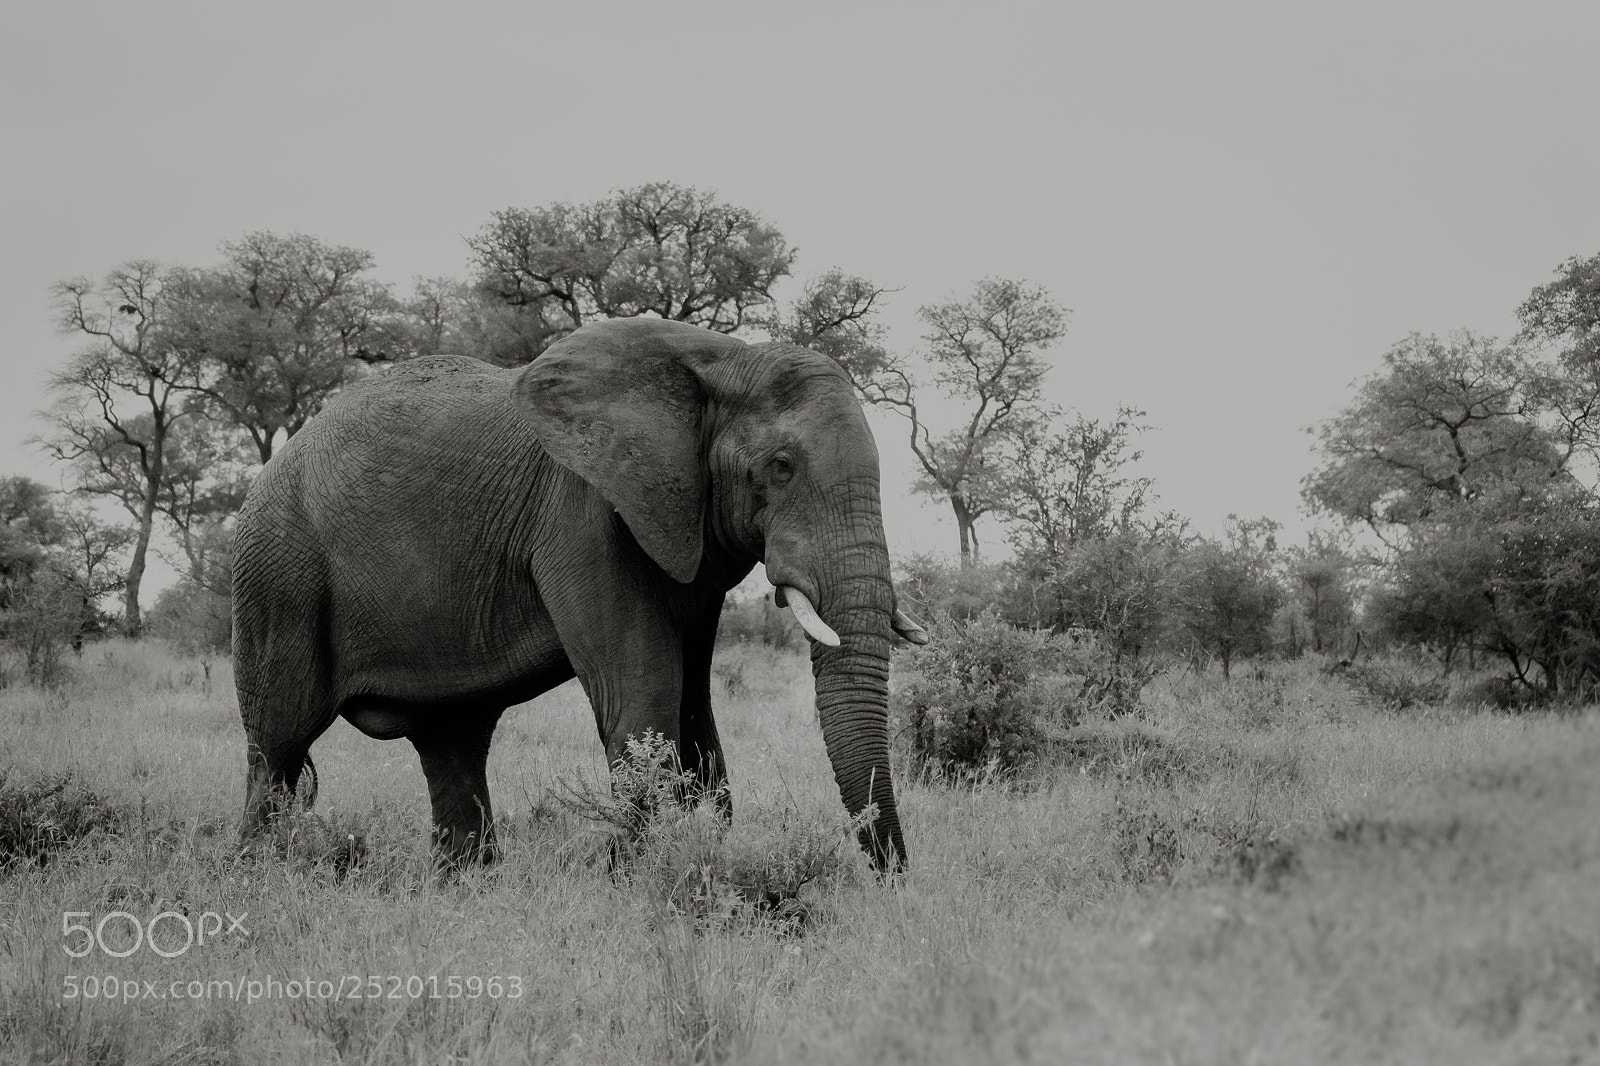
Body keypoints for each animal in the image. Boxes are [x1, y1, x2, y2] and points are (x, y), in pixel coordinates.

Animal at [233, 316, 928, 871]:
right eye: (780, 468)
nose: (892, 880)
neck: (720, 360)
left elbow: (694, 710)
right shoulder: (583, 515)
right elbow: (645, 694)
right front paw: (636, 878)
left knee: (452, 742)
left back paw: (468, 887)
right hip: (277, 572)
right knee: (277, 748)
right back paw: (260, 876)